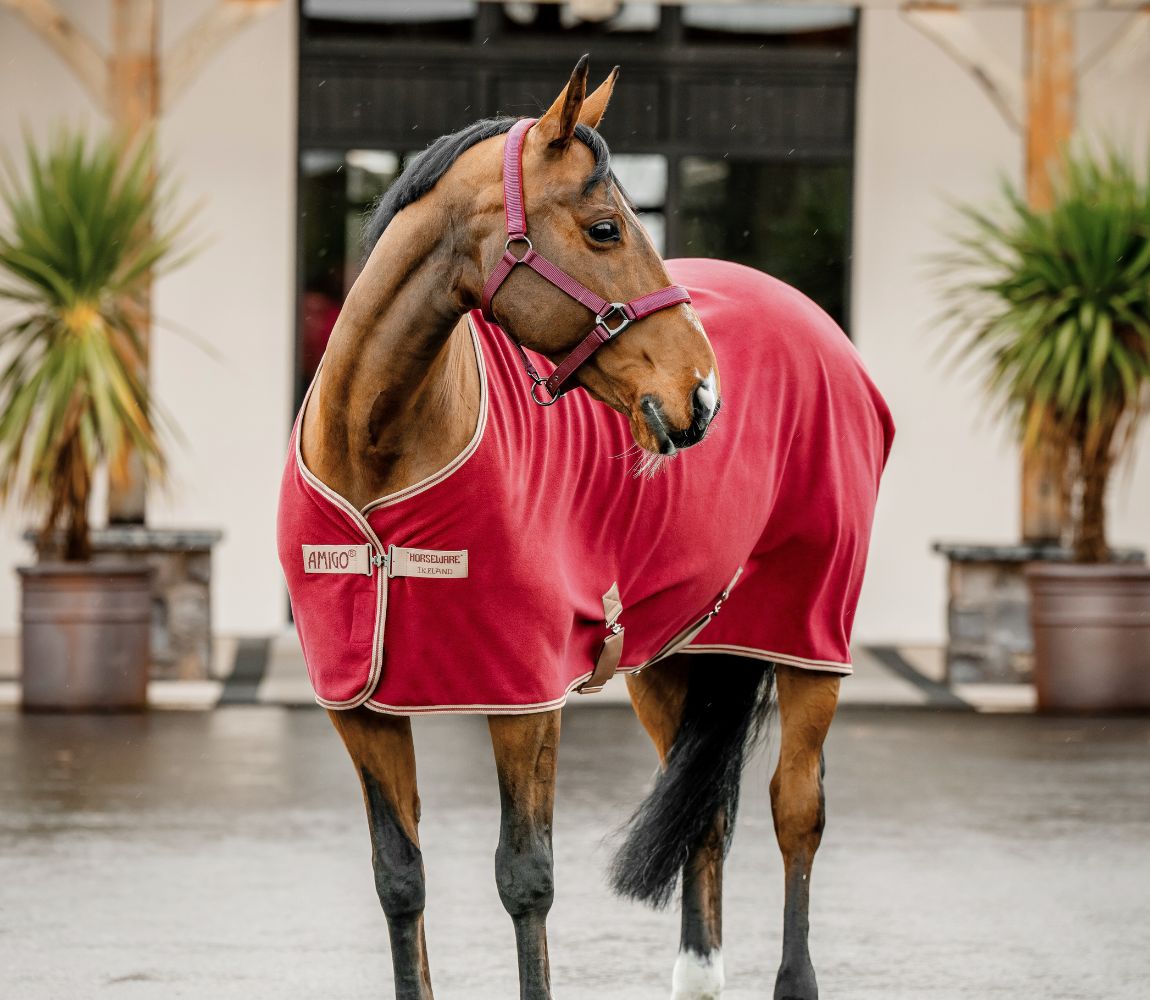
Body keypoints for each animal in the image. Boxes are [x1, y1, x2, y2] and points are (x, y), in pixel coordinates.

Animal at [277, 57, 893, 1000]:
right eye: (605, 228)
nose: (702, 395)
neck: (378, 460)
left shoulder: (527, 700)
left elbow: (525, 878)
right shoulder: (361, 706)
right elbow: (399, 878)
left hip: (810, 641)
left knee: (797, 815)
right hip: (669, 658)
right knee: (704, 819)